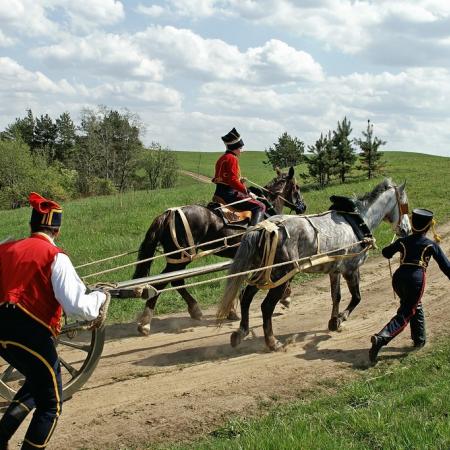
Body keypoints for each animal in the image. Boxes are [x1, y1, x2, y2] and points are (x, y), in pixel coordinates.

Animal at [131, 167, 306, 336]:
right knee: (162, 282)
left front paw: (231, 311)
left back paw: (194, 310)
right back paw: (145, 323)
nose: (303, 206)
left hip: (179, 258)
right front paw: (286, 297)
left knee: (176, 281)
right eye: (297, 187)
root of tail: (169, 214)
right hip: (180, 258)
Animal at [217, 178, 412, 352]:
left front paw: (333, 321)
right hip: (280, 276)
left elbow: (336, 296)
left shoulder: (335, 271)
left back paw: (241, 333)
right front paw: (340, 319)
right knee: (266, 306)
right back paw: (272, 342)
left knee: (246, 296)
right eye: (405, 204)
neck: (359, 220)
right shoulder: (351, 269)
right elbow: (357, 297)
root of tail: (264, 228)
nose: (407, 230)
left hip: (264, 273)